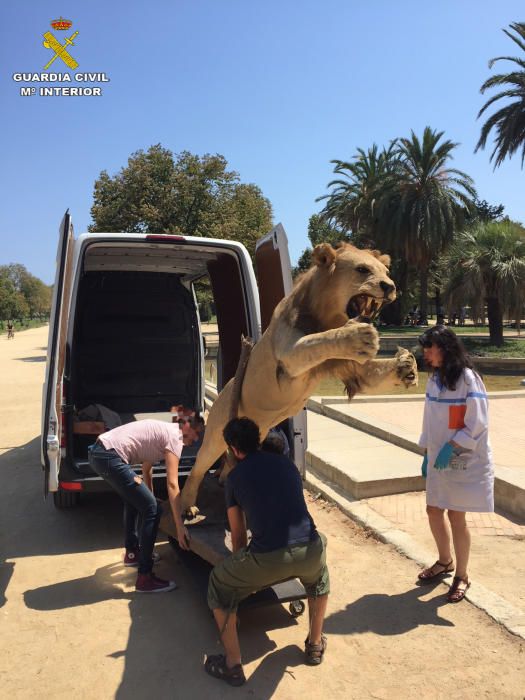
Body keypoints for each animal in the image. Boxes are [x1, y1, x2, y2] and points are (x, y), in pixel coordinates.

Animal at [181, 242, 418, 516]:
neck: (329, 316)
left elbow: (375, 373)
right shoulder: (288, 358)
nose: (390, 286)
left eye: (386, 272)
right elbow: (317, 340)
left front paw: (407, 367)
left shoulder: (351, 370)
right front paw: (357, 335)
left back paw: (223, 477)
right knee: (198, 467)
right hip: (216, 432)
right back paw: (187, 505)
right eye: (362, 270)